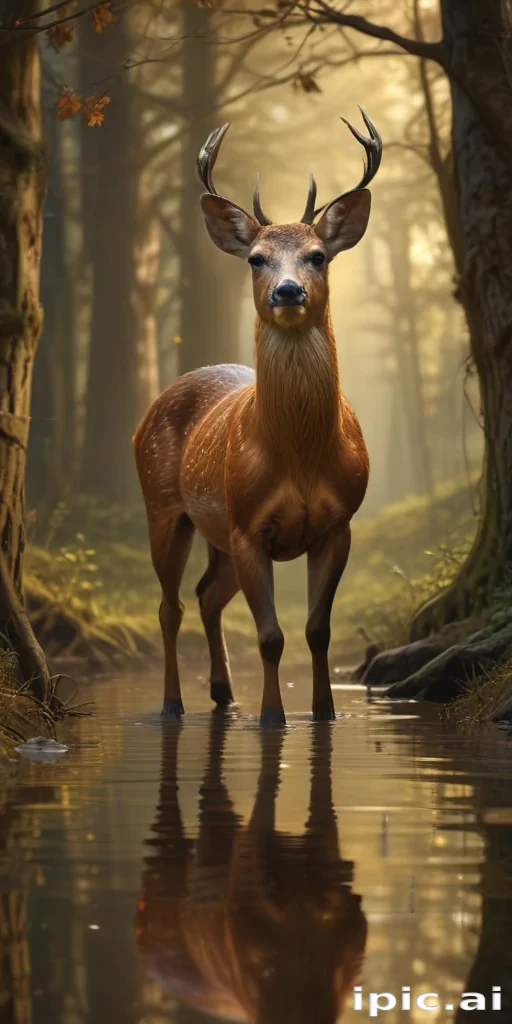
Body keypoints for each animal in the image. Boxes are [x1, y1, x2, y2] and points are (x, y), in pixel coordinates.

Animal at [133, 110, 382, 726]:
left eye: (318, 255)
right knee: (170, 606)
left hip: (216, 530)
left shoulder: (338, 522)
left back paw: (224, 694)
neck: (301, 456)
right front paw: (273, 718)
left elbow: (317, 630)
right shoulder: (249, 525)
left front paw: (324, 712)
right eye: (256, 259)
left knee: (205, 594)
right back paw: (173, 703)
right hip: (163, 505)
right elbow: (271, 636)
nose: (287, 291)